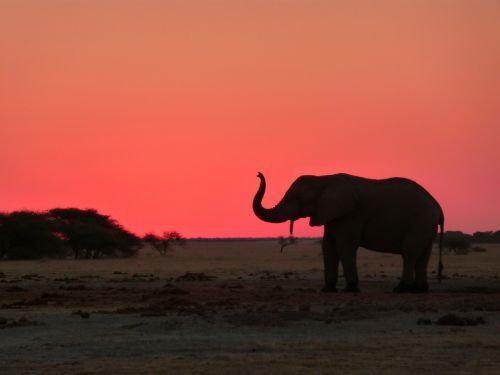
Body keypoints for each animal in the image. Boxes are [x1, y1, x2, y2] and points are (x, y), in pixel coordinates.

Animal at [252, 173, 444, 294]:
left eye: (298, 198)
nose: (258, 174)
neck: (324, 179)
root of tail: (438, 209)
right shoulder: (330, 214)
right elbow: (328, 247)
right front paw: (327, 290)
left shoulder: (351, 215)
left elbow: (344, 247)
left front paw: (349, 290)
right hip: (426, 227)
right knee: (422, 256)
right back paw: (420, 290)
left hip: (420, 223)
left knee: (409, 254)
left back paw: (401, 290)